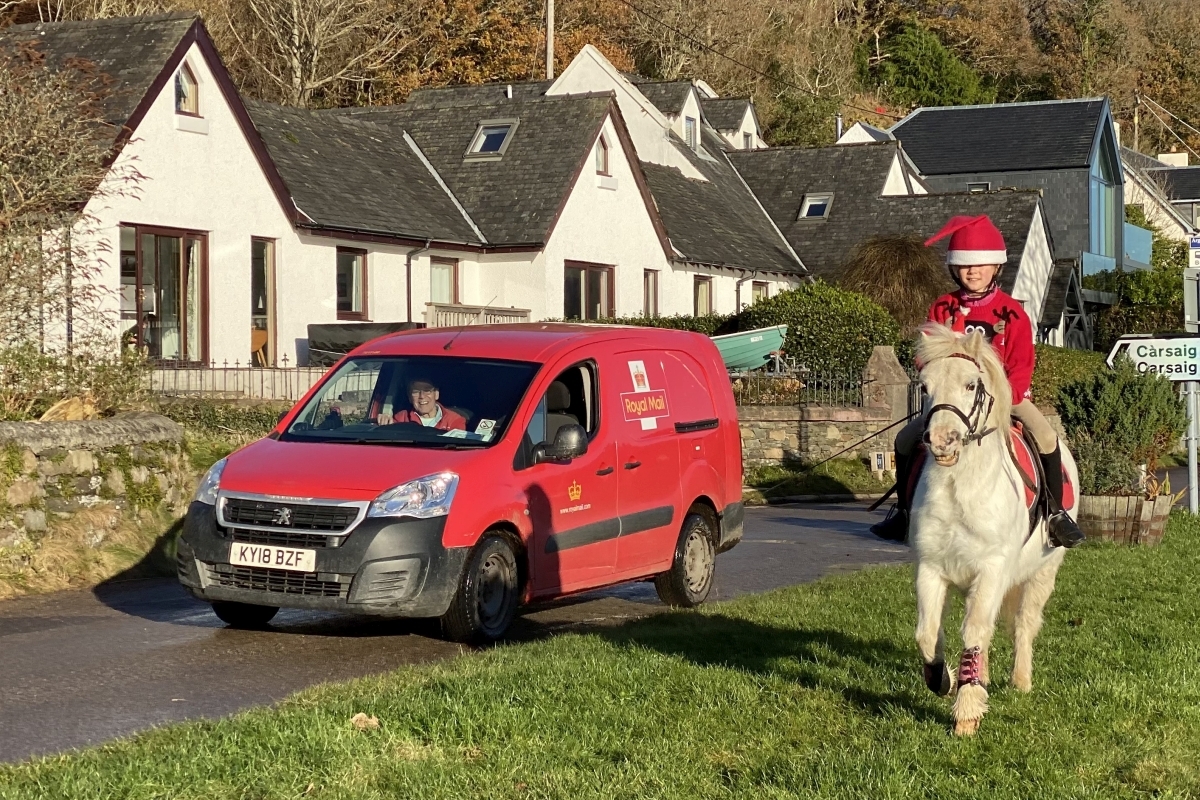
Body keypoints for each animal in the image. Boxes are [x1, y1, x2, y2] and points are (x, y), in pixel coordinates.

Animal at [912, 321, 1075, 734]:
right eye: (925, 386)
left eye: (972, 384)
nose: (942, 441)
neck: (960, 489)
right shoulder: (931, 568)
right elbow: (928, 634)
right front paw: (943, 680)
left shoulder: (991, 569)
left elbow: (974, 631)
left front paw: (967, 712)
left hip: (1042, 573)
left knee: (1024, 624)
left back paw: (1020, 681)